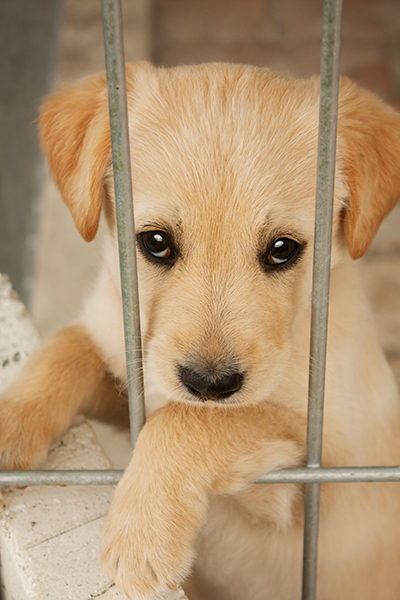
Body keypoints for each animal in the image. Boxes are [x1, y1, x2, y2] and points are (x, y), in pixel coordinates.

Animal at [0, 63, 400, 596]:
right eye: (155, 242)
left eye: (282, 249)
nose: (209, 384)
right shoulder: (133, 372)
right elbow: (68, 347)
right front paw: (10, 420)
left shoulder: (322, 482)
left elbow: (197, 420)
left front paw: (141, 534)